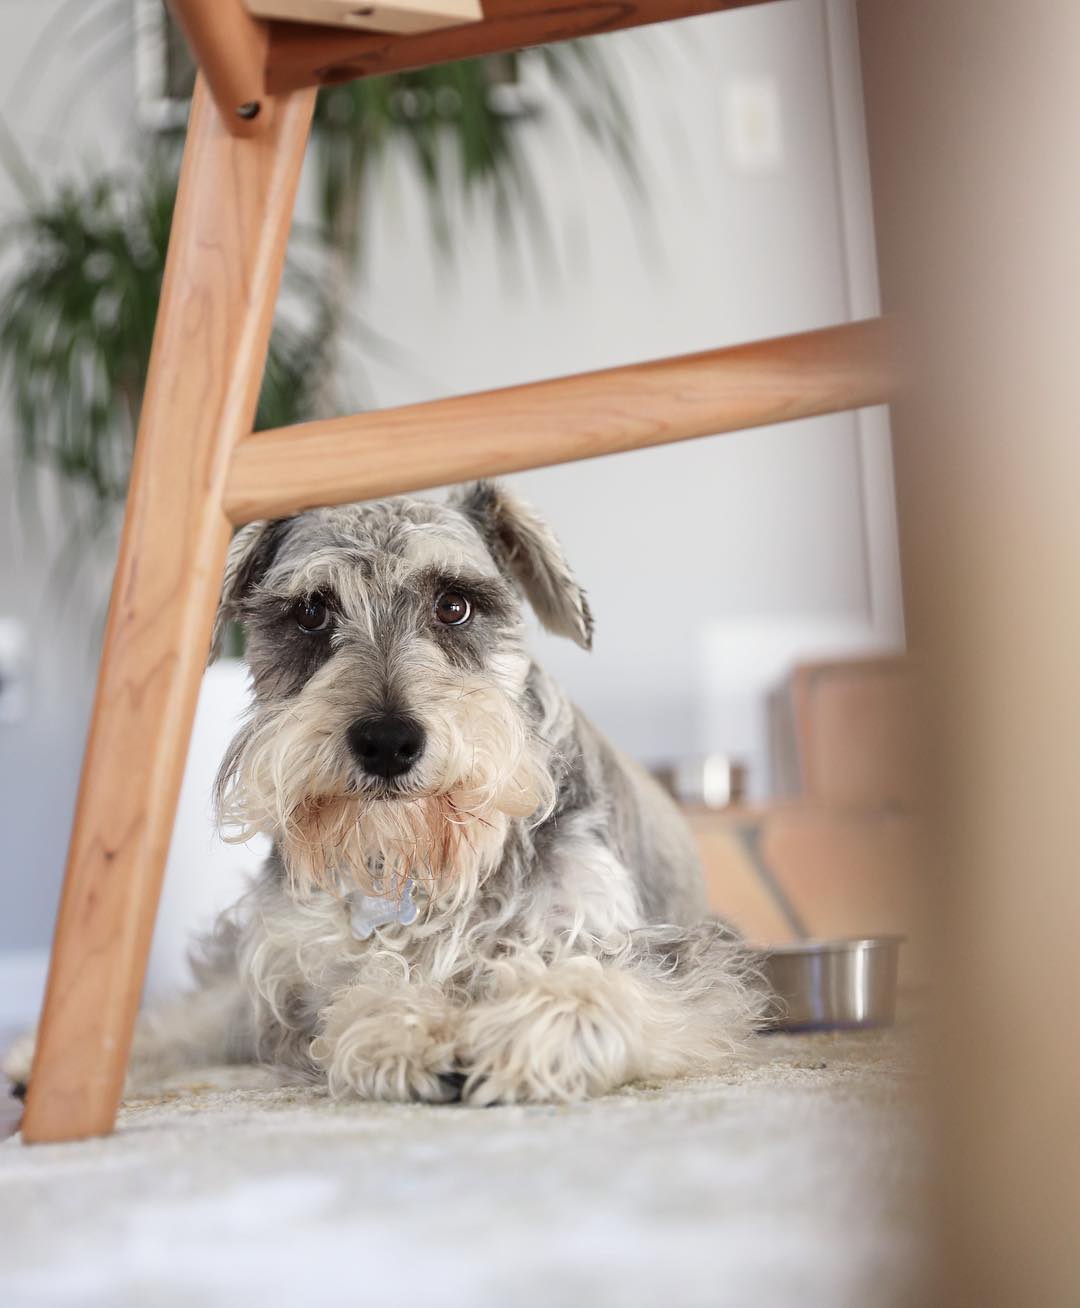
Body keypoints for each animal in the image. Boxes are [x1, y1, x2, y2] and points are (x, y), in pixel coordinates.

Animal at [6, 481, 758, 1103]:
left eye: (454, 604)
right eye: (312, 612)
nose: (388, 742)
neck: (419, 867)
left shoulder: (647, 947)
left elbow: (601, 983)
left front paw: (525, 1037)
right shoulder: (300, 969)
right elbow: (364, 985)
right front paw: (404, 1033)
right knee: (201, 1014)